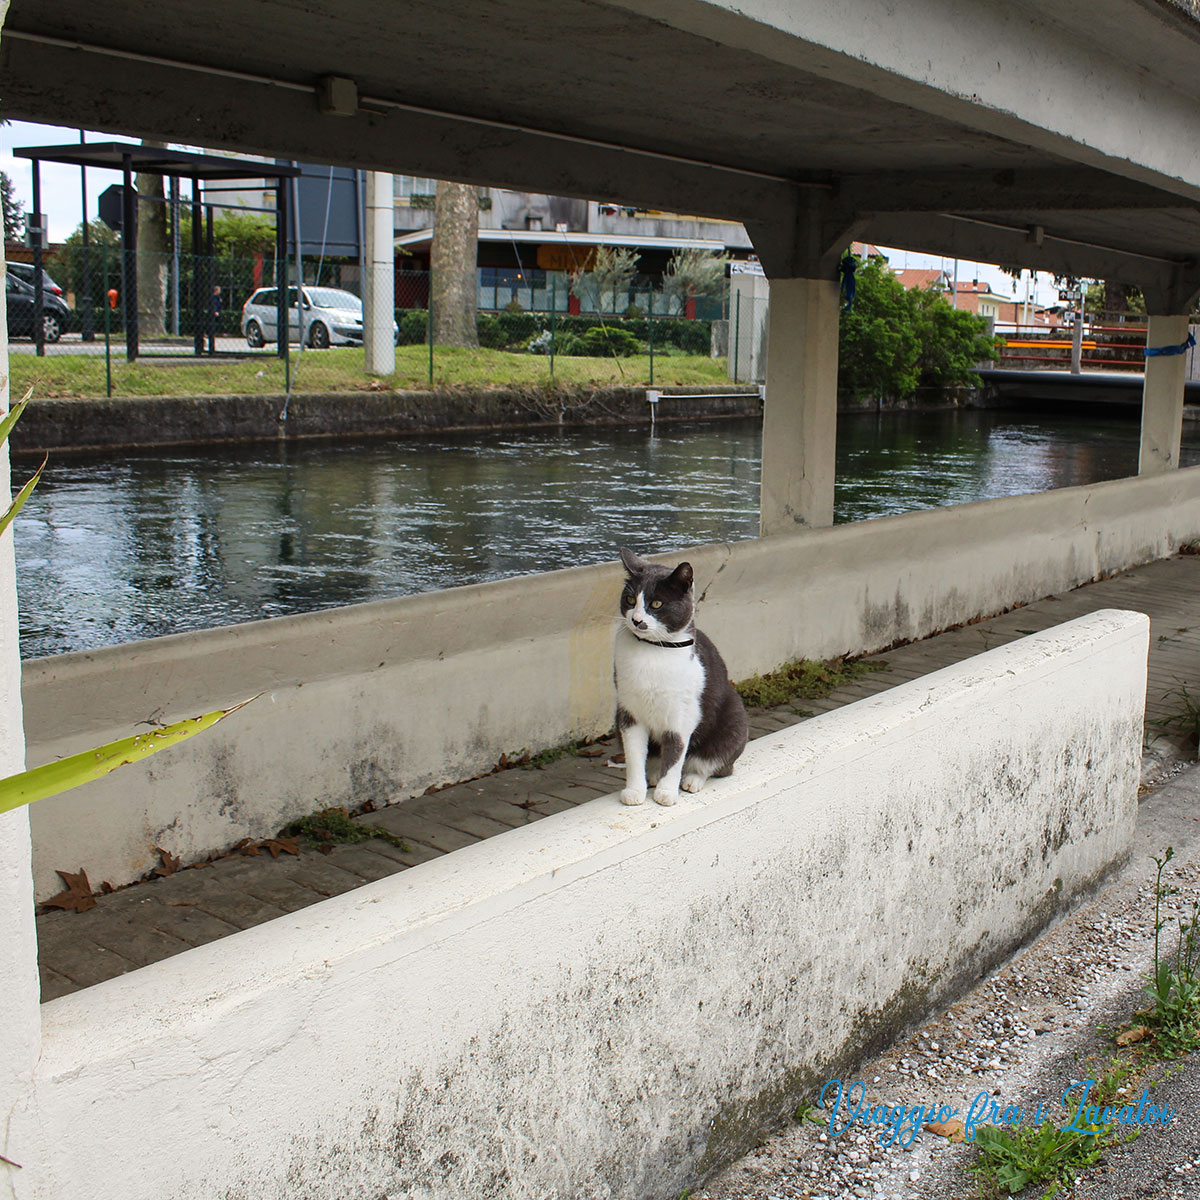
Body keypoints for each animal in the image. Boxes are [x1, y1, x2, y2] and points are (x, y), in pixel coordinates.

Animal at [614, 547, 744, 806]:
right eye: (630, 600)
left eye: (656, 604)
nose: (636, 620)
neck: (652, 650)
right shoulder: (628, 712)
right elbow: (634, 754)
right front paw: (634, 791)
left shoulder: (682, 714)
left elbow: (675, 754)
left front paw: (666, 793)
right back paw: (653, 775)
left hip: (734, 720)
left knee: (715, 765)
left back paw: (692, 780)